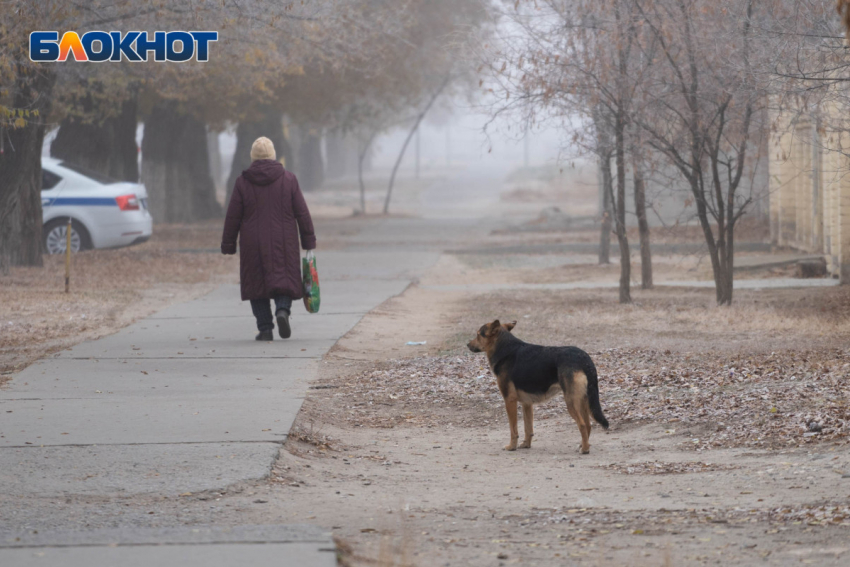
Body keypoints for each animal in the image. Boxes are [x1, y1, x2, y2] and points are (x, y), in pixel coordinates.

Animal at [468, 322, 608, 454]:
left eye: (478, 334)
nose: (467, 344)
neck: (505, 349)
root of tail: (584, 358)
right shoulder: (526, 403)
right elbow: (528, 428)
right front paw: (526, 444)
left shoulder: (509, 401)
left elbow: (513, 429)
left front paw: (512, 446)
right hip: (583, 401)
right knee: (588, 425)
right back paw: (583, 445)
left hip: (572, 403)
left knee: (583, 425)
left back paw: (585, 449)